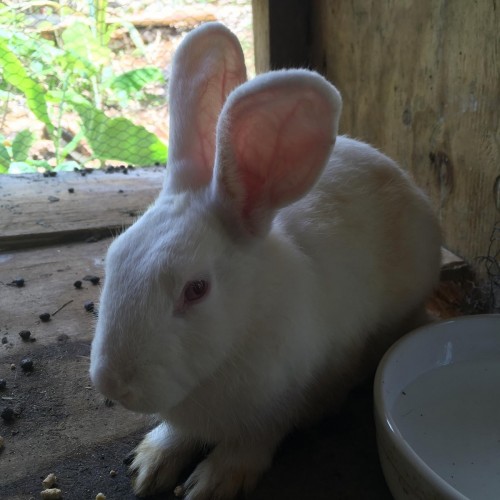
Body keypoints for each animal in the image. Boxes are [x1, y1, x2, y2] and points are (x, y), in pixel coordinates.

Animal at [90, 21, 442, 500]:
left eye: (196, 289)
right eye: (114, 259)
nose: (112, 383)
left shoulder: (288, 401)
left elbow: (254, 440)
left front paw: (214, 481)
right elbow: (178, 434)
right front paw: (151, 463)